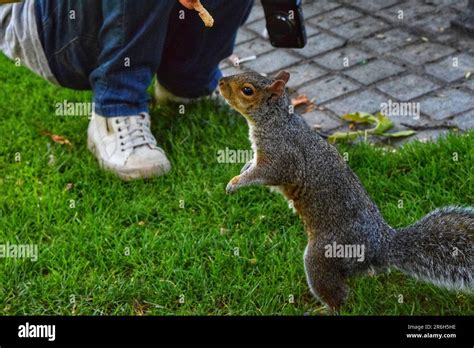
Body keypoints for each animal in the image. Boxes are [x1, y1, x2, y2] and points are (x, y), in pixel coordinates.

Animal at [218, 70, 474, 310]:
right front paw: (243, 168)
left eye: (247, 90)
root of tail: (381, 246)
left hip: (324, 255)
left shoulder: (281, 157)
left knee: (338, 295)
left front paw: (235, 183)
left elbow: (266, 174)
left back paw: (324, 309)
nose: (220, 82)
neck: (276, 121)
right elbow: (252, 164)